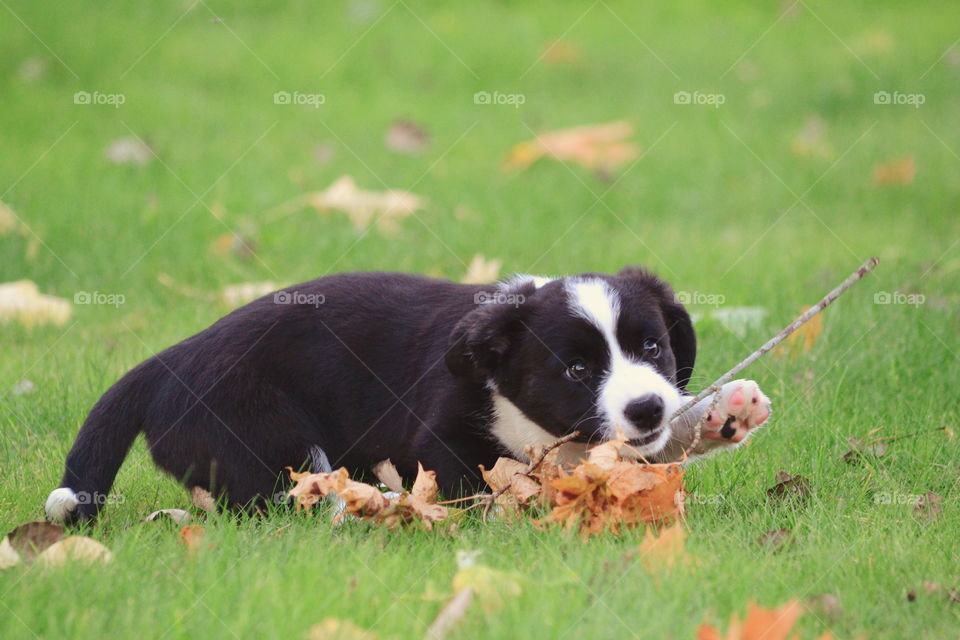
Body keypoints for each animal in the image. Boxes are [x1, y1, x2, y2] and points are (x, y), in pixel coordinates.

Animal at [48, 268, 776, 524]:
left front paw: (724, 412)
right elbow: (479, 491)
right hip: (264, 435)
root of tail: (167, 362)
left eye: (652, 347)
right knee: (287, 499)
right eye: (574, 369)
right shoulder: (442, 439)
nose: (646, 408)